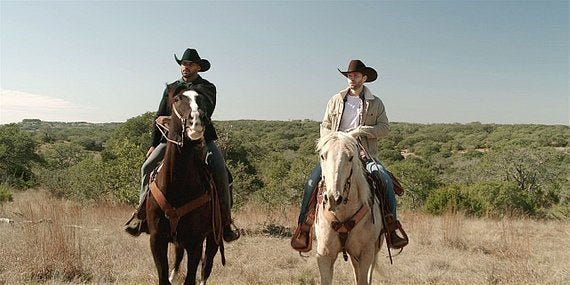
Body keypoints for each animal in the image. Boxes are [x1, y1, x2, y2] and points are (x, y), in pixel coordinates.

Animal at [146, 87, 224, 282]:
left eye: (203, 99)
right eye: (177, 99)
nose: (197, 120)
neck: (177, 185)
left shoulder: (195, 242)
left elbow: (191, 277)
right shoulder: (157, 240)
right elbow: (163, 277)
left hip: (214, 236)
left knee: (207, 265)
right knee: (178, 257)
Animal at [312, 131, 384, 284]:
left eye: (350, 157)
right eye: (322, 156)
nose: (333, 198)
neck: (343, 214)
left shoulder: (365, 254)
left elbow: (363, 280)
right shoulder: (324, 255)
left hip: (373, 251)